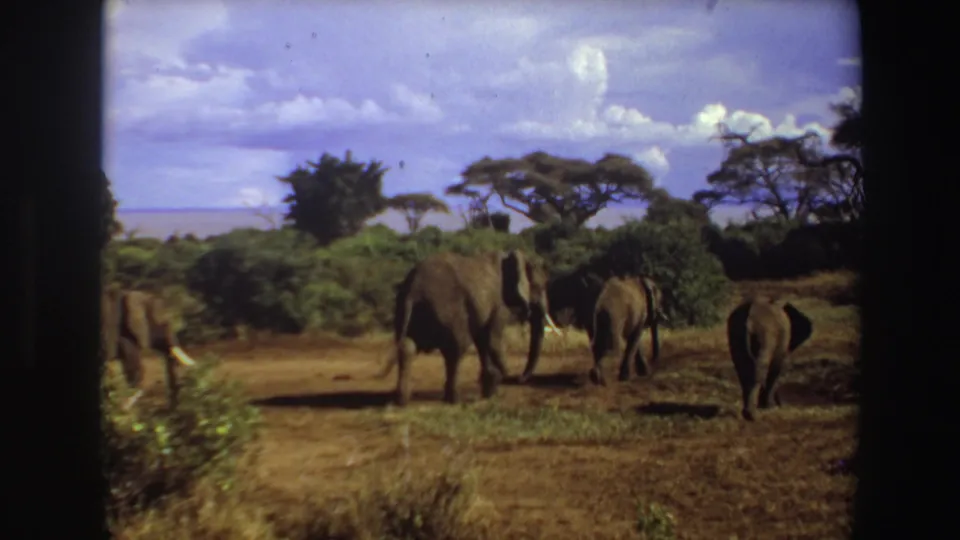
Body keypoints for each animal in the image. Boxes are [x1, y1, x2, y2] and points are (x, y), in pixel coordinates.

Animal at [377, 249, 561, 406]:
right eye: (540, 287)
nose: (519, 379)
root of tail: (414, 288)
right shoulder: (499, 305)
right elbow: (491, 340)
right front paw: (499, 378)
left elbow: (482, 341)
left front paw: (490, 390)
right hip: (447, 309)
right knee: (456, 349)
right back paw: (454, 400)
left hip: (405, 310)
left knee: (407, 347)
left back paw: (402, 401)